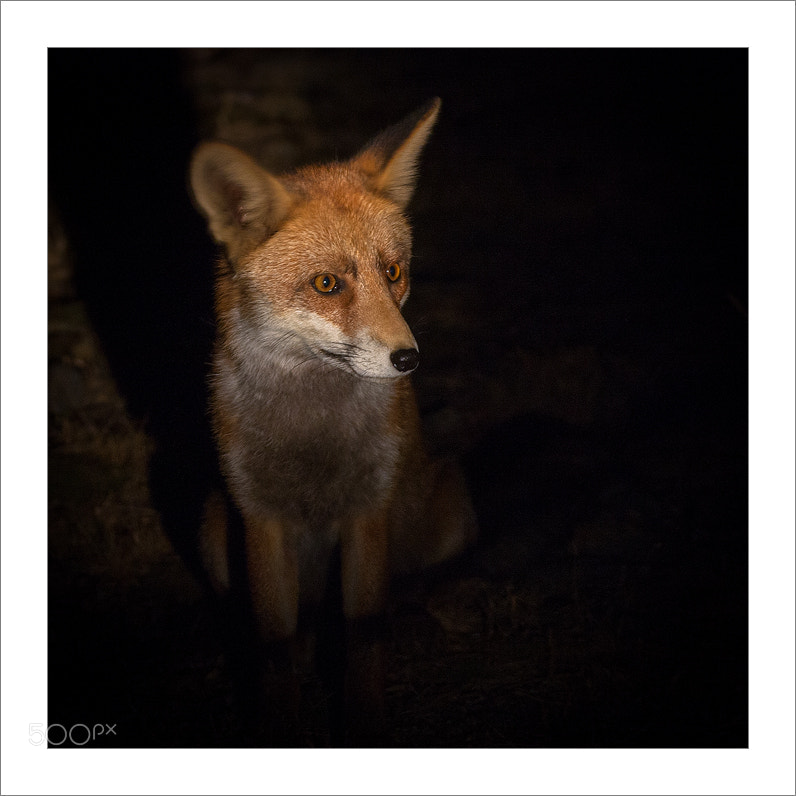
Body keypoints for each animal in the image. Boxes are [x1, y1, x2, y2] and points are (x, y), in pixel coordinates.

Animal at [189, 98, 477, 744]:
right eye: (327, 283)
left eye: (393, 272)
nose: (408, 359)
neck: (312, 439)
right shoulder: (260, 520)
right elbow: (275, 647)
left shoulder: (367, 512)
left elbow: (365, 641)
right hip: (213, 532)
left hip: (450, 508)